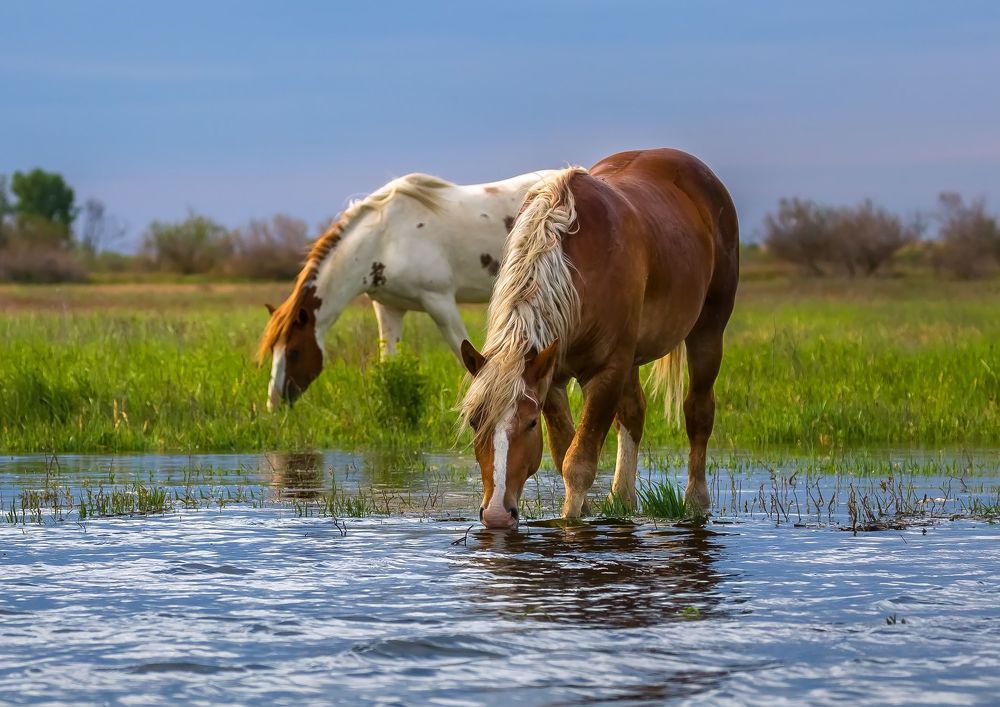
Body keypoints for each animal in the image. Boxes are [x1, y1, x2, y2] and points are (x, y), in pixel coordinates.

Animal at [257, 169, 558, 410]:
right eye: (274, 351)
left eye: (294, 351)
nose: (273, 403)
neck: (384, 239)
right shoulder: (388, 308)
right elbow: (388, 364)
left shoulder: (440, 302)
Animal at [459, 148, 739, 528]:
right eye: (475, 421)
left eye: (530, 424)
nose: (498, 515)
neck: (575, 274)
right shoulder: (552, 377)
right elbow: (563, 451)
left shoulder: (607, 372)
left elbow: (578, 462)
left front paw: (571, 521)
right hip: (632, 358)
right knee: (634, 414)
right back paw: (622, 500)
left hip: (707, 333)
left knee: (698, 412)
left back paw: (696, 503)